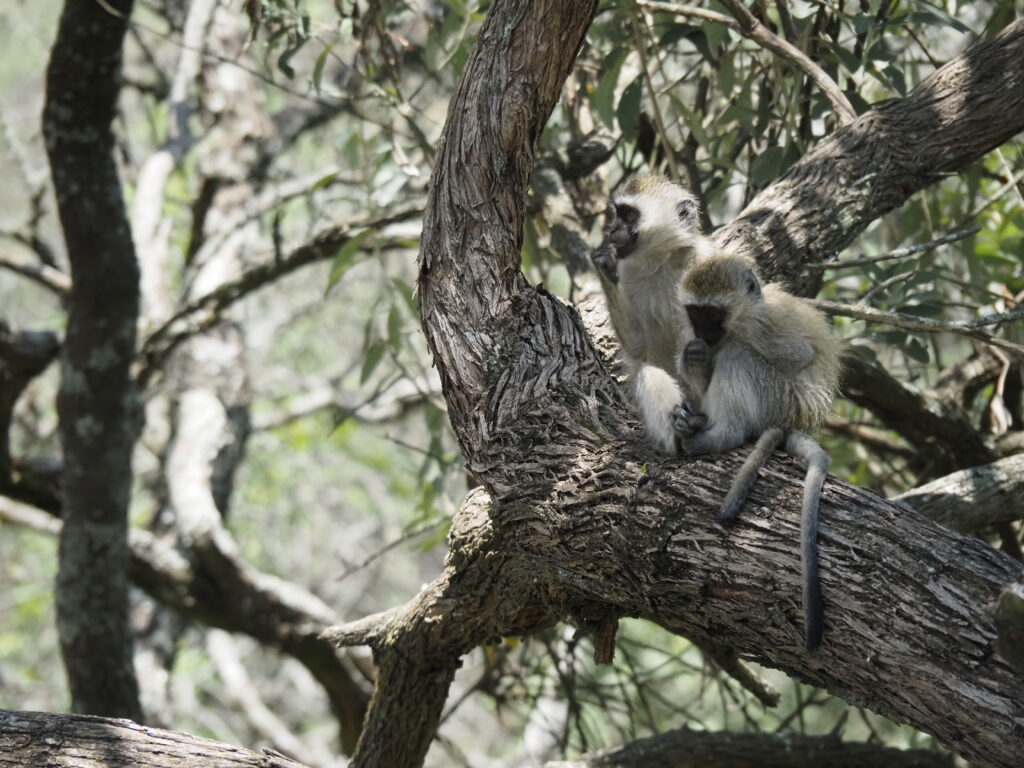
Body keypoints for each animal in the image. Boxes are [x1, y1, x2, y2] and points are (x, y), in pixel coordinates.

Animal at [589, 174, 716, 450]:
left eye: (629, 215)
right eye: (618, 214)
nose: (611, 230)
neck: (662, 261)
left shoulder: (706, 261)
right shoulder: (627, 272)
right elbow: (637, 347)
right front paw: (604, 266)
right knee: (650, 373)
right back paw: (680, 433)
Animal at [671, 252, 839, 651]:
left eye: (713, 313)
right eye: (695, 313)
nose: (703, 333)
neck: (740, 320)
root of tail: (794, 423)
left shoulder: (765, 326)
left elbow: (798, 355)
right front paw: (693, 359)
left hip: (777, 400)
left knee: (738, 356)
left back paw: (719, 434)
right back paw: (695, 421)